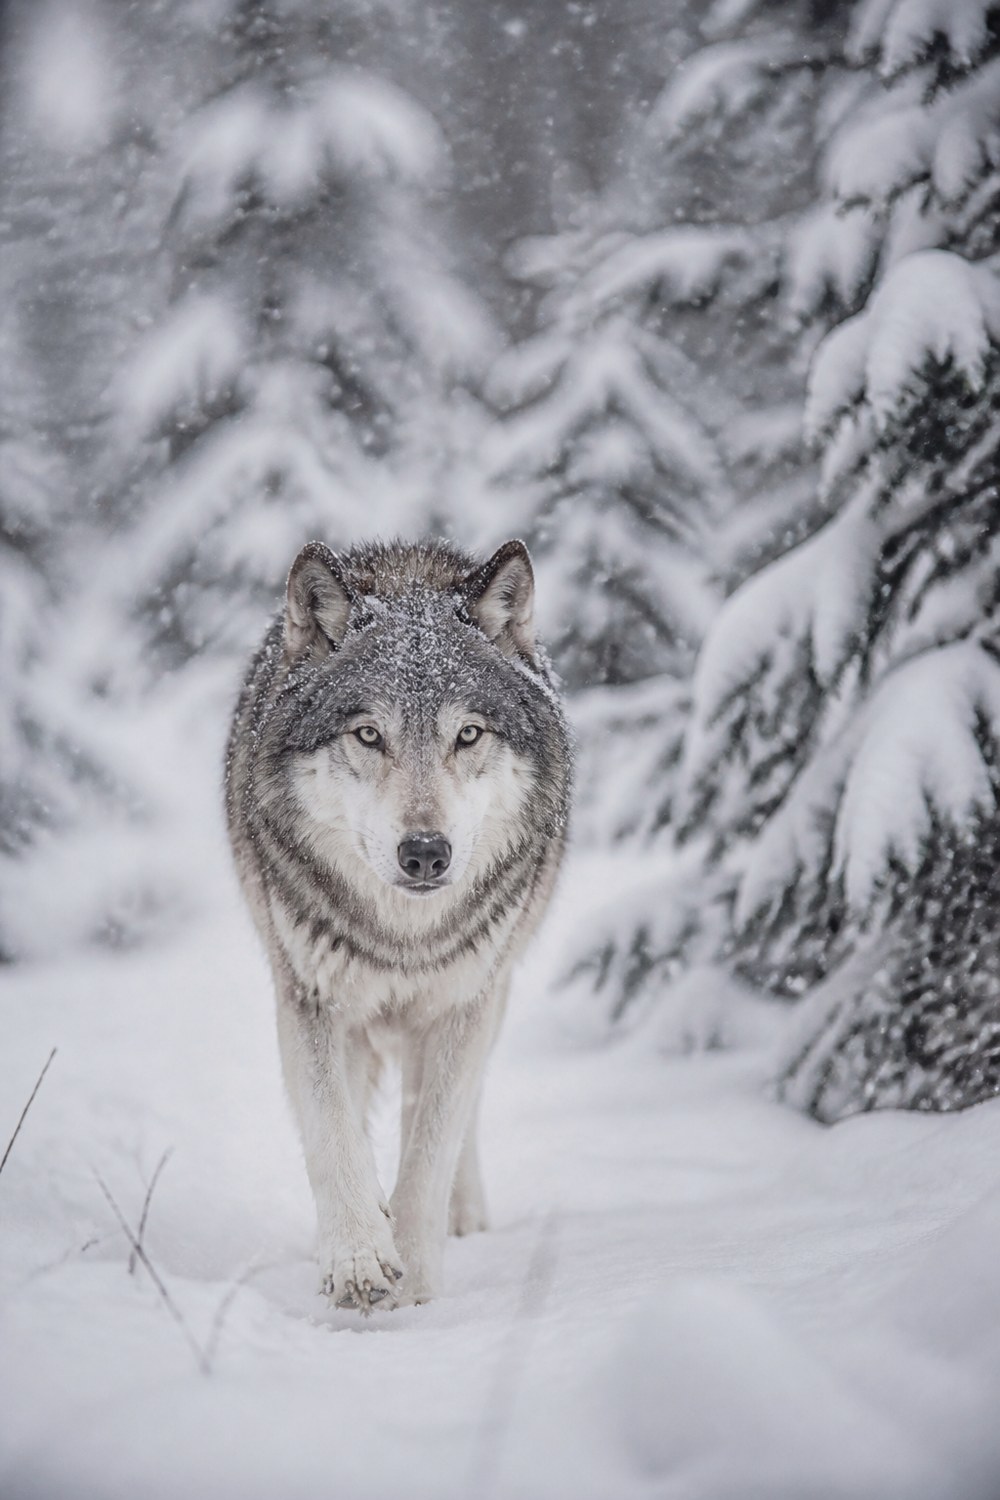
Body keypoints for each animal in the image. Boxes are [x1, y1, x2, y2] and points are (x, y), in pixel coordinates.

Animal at [225, 538, 571, 1309]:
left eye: (467, 734)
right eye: (368, 734)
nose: (425, 853)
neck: (402, 939)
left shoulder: (460, 1003)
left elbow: (431, 1145)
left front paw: (412, 1275)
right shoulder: (310, 1000)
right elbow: (333, 1132)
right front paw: (357, 1257)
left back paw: (463, 1214)